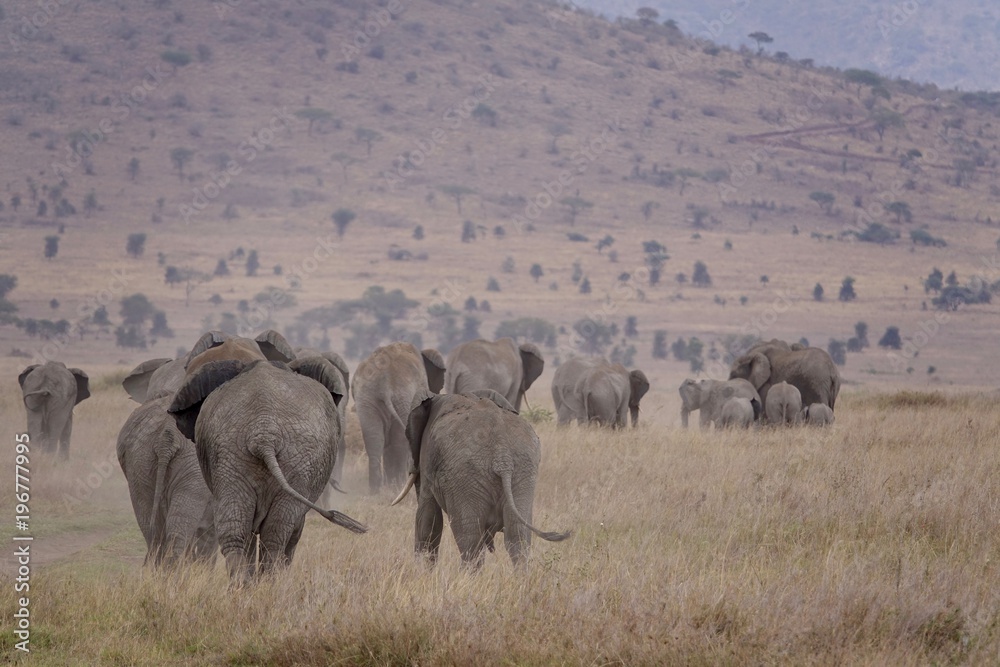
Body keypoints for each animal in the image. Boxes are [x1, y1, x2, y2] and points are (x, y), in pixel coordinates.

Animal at [168, 357, 367, 583]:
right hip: (294, 462)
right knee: (275, 531)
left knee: (236, 526)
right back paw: (269, 583)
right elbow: (295, 528)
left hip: (234, 455)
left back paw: (241, 585)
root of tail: (263, 434)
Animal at [352, 342, 446, 494]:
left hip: (367, 398)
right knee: (398, 440)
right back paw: (396, 486)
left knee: (374, 439)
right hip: (402, 396)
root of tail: (383, 382)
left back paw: (376, 491)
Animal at [391, 389, 571, 567]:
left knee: (470, 540)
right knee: (517, 537)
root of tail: (502, 453)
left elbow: (427, 518)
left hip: (465, 478)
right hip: (523, 471)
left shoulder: (428, 458)